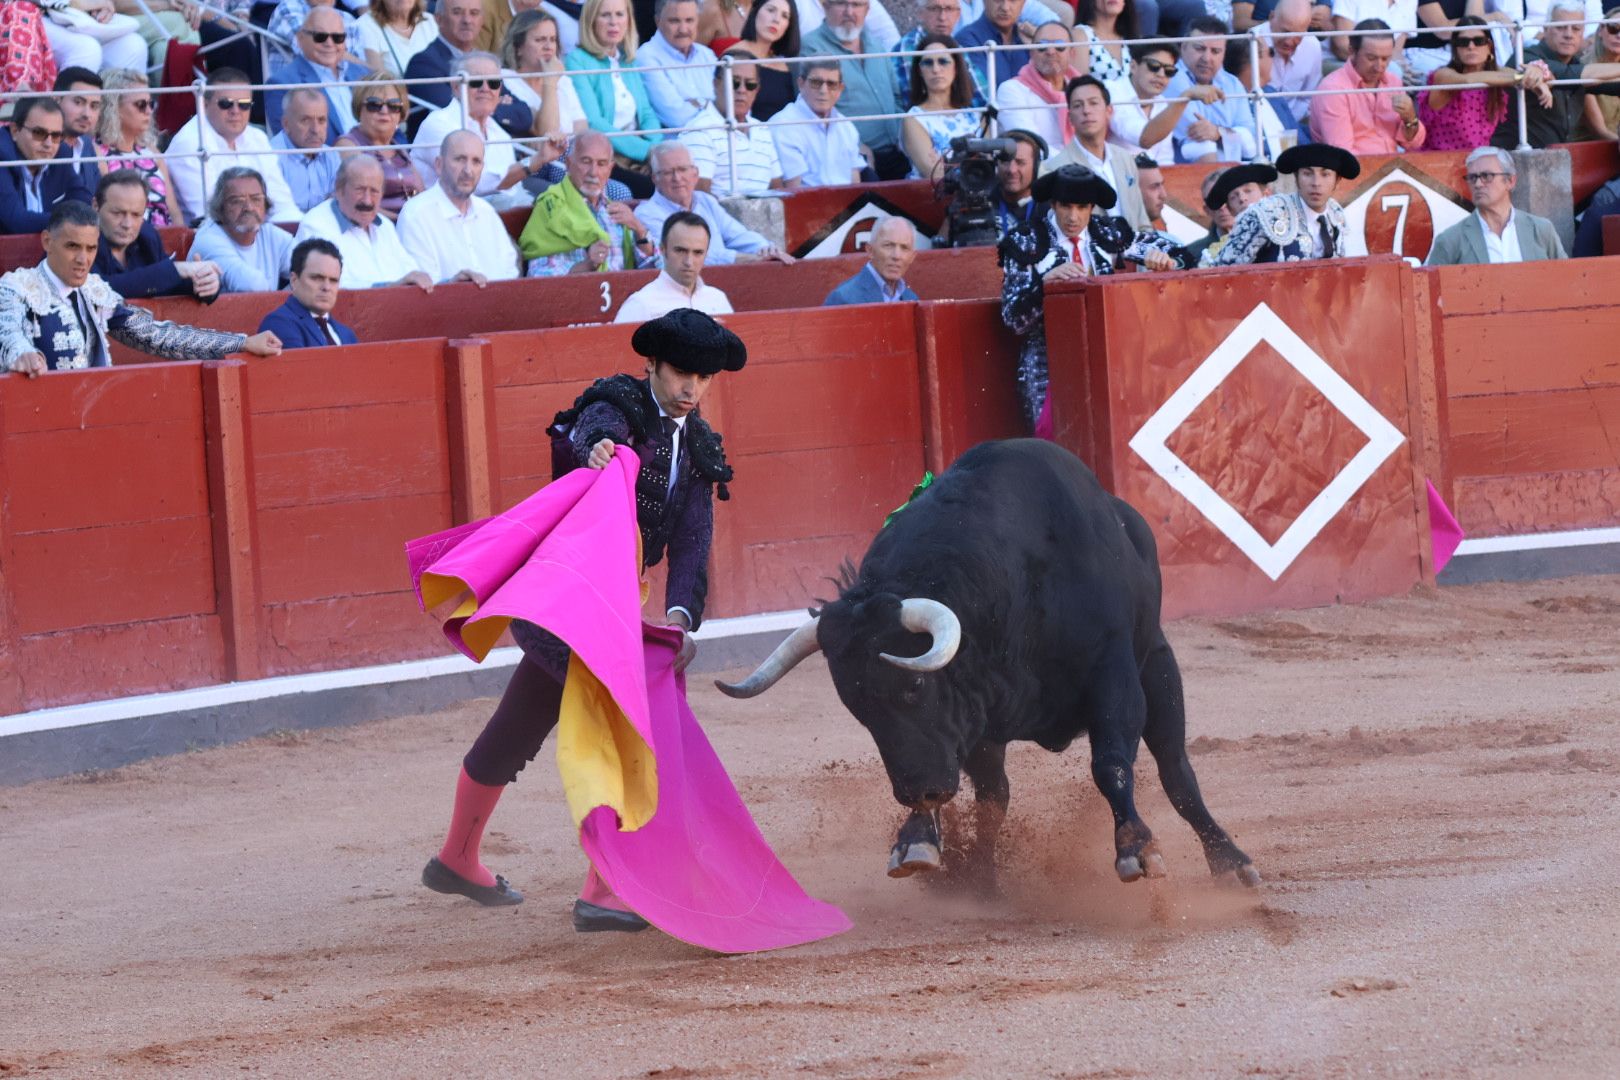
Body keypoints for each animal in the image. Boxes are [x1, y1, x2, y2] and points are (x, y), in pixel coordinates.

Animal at [722, 433, 1263, 893]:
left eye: (914, 688)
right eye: (857, 708)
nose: (917, 789)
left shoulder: (1113, 672)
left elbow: (1111, 763)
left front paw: (1137, 850)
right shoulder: (977, 712)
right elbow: (990, 796)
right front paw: (950, 858)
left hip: (1158, 663)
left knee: (1176, 769)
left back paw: (1231, 863)